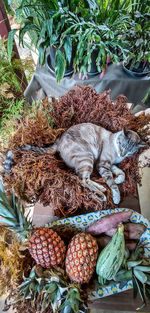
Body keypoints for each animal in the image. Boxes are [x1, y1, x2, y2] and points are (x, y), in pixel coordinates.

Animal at [4, 122, 146, 205]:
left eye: (130, 151)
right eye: (122, 145)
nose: (122, 154)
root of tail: (58, 141)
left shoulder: (111, 165)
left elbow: (122, 174)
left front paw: (118, 179)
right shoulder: (103, 165)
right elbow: (113, 183)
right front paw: (116, 197)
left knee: (84, 179)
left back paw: (101, 188)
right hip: (88, 157)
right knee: (83, 180)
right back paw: (101, 194)